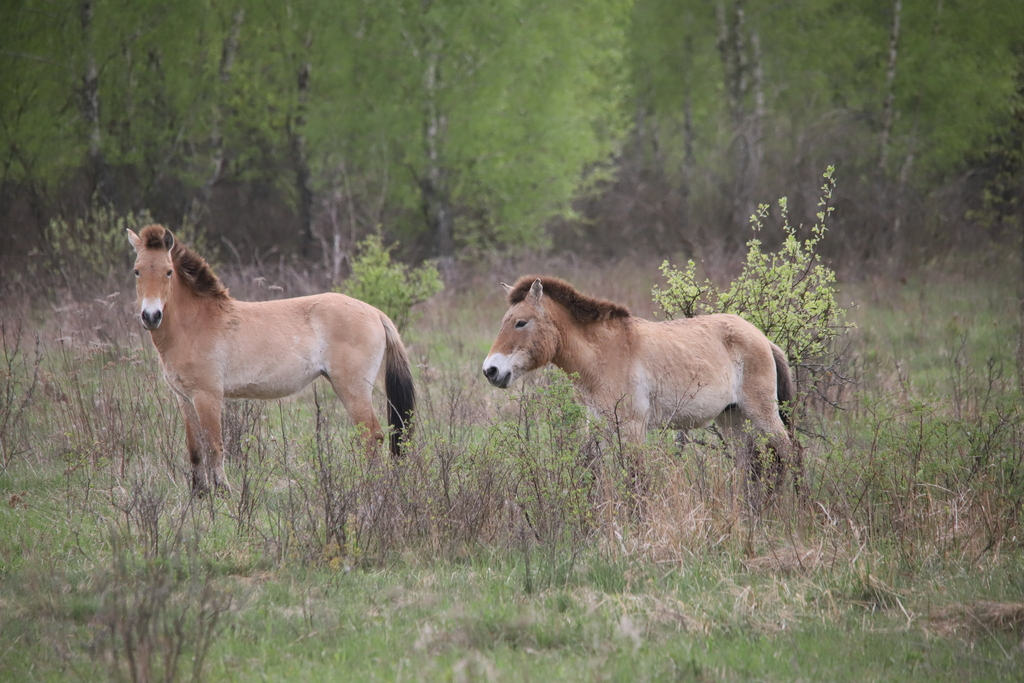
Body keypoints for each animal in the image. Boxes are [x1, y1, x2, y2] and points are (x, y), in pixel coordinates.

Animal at [128, 227, 415, 493]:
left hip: (353, 389)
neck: (196, 323)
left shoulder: (207, 396)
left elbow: (214, 446)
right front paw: (199, 495)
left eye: (168, 272)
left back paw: (371, 489)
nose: (151, 316)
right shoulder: (185, 399)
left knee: (372, 436)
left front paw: (222, 494)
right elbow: (195, 450)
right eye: (136, 271)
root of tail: (375, 312)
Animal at [483, 274, 794, 483]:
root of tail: (762, 338)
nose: (491, 370)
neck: (603, 355)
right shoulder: (597, 425)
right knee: (749, 464)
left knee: (791, 453)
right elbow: (591, 472)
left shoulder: (633, 427)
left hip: (761, 413)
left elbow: (636, 478)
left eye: (521, 323)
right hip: (731, 417)